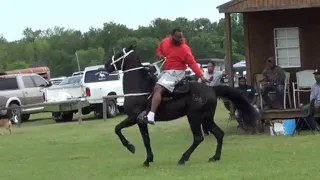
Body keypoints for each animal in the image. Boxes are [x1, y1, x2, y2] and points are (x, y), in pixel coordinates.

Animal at [105, 45, 258, 167]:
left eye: (118, 54)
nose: (106, 64)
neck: (139, 88)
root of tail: (211, 89)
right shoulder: (140, 122)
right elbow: (145, 139)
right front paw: (148, 159)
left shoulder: (134, 118)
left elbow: (118, 129)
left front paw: (132, 148)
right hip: (206, 119)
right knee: (219, 134)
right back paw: (215, 157)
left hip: (194, 117)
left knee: (198, 138)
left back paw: (183, 158)